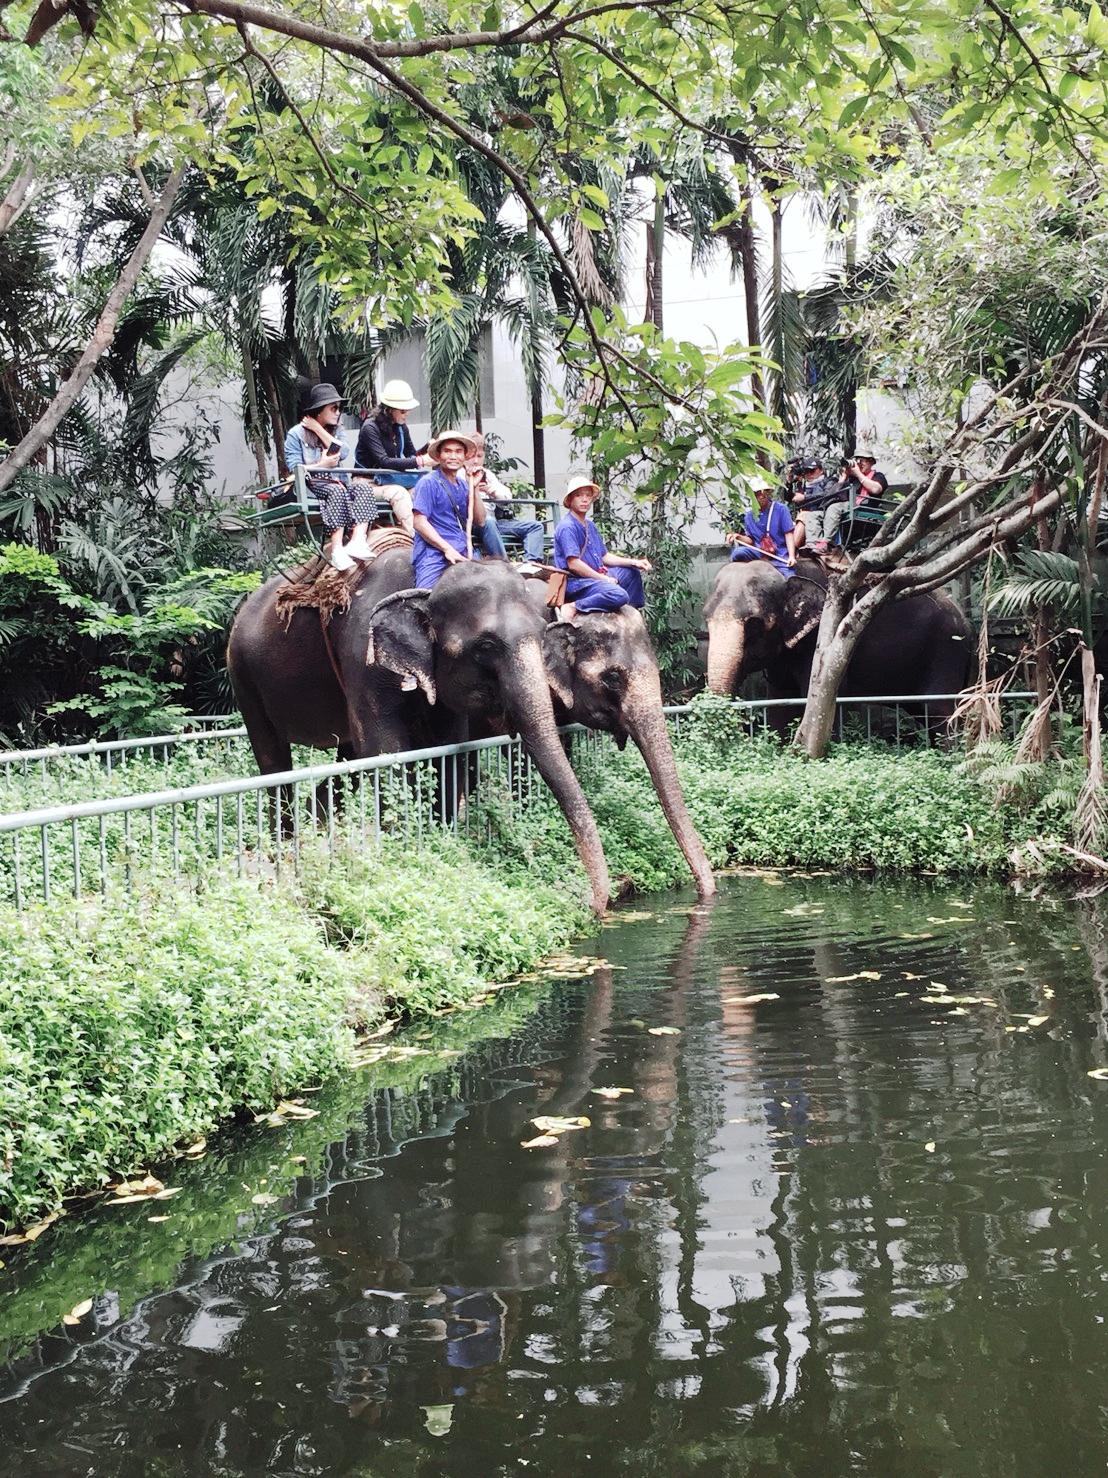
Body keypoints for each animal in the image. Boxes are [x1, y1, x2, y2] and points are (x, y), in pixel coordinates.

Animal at [224, 549, 608, 904]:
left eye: (543, 637)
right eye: (485, 646)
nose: (593, 903)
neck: (426, 584)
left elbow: (450, 748)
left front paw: (440, 838)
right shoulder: (363, 654)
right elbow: (385, 751)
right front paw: (402, 847)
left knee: (346, 758)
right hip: (241, 672)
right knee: (274, 760)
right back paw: (285, 846)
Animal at [712, 555, 969, 724]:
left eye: (754, 625)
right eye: (706, 617)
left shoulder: (820, 640)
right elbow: (780, 702)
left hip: (945, 651)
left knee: (938, 710)